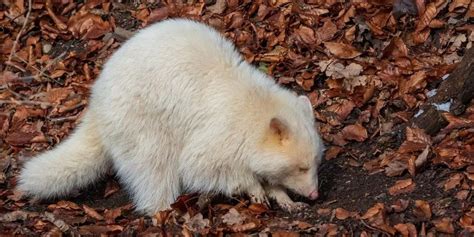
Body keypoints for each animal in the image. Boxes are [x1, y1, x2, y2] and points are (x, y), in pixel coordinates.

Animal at [16, 18, 324, 215]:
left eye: (314, 163)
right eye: (301, 167)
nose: (314, 194)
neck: (257, 105)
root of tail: (96, 105)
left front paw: (281, 194)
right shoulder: (220, 131)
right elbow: (201, 166)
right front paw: (253, 186)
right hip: (140, 121)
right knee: (154, 165)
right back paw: (162, 209)